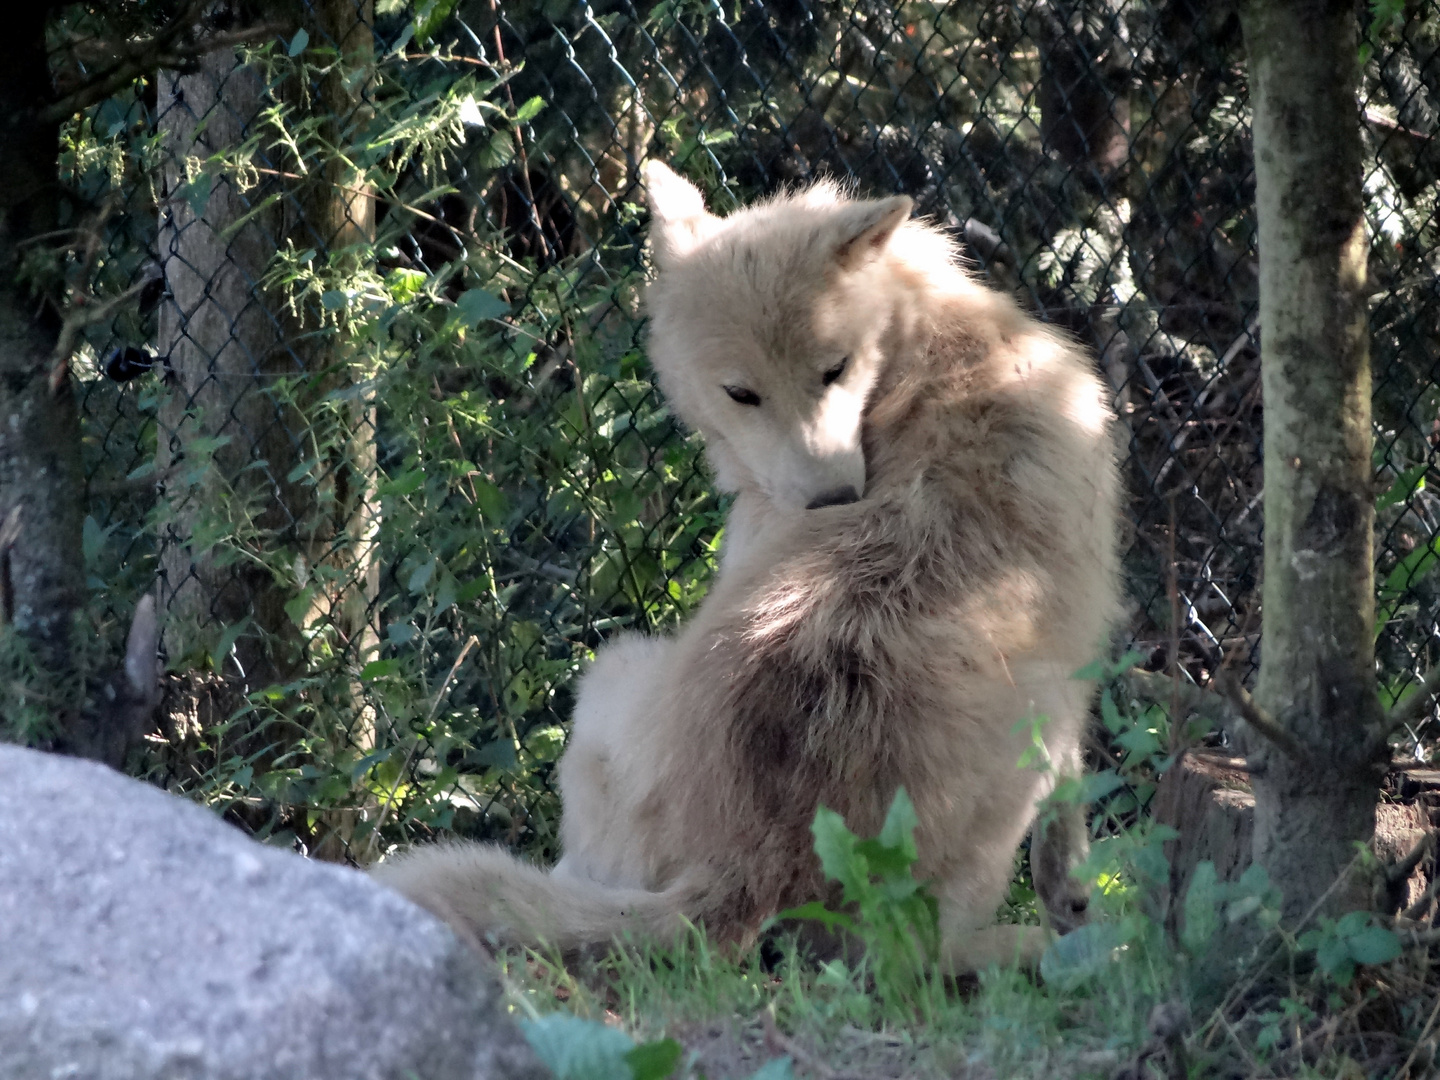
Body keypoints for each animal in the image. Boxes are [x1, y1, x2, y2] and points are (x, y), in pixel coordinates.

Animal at [371, 160, 1123, 973]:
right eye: (742, 393)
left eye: (835, 370)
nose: (831, 501)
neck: (925, 347)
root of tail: (750, 863)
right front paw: (1074, 902)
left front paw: (1072, 900)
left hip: (618, 665)